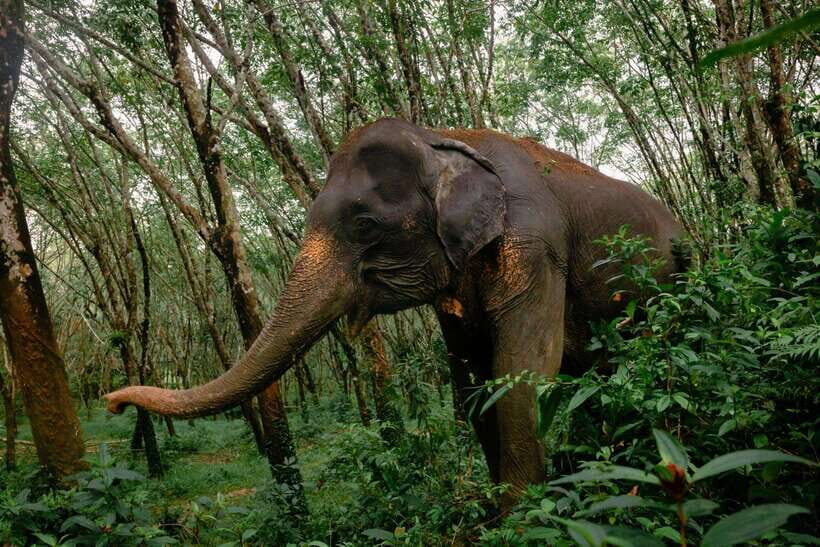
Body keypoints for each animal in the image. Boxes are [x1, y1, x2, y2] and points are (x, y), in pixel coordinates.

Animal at [105, 117, 683, 500]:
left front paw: (524, 518)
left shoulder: (536, 246)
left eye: (364, 225)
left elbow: (521, 372)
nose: (111, 402)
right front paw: (497, 513)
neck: (443, 139)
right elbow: (471, 381)